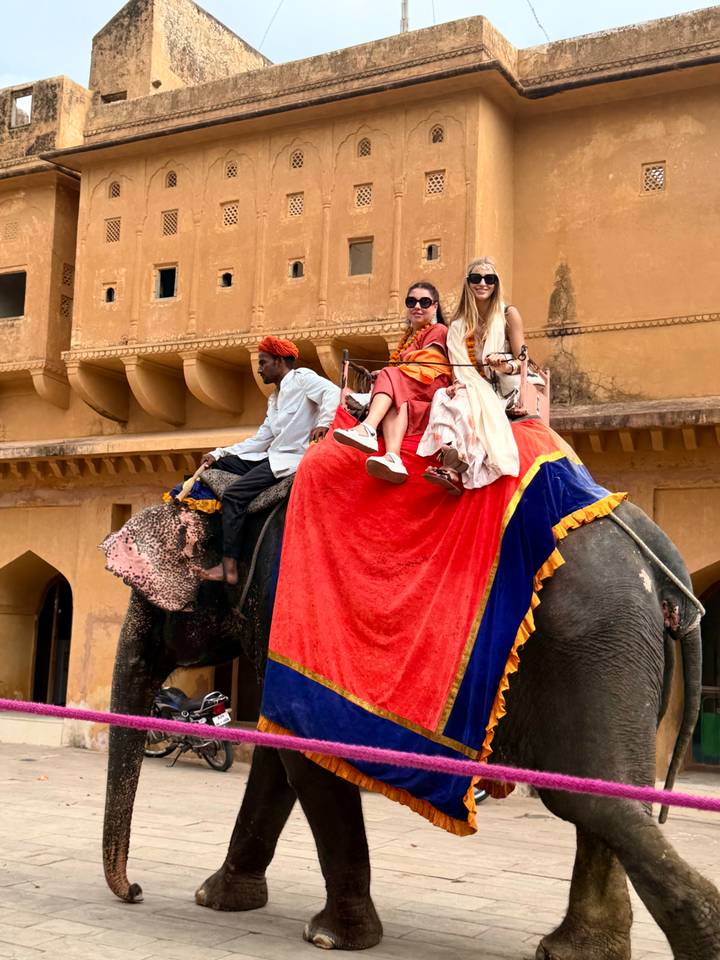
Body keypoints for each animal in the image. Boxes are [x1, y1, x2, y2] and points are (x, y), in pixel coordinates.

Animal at [102, 492, 720, 960]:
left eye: (141, 601)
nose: (135, 892)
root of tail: (663, 567)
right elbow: (278, 755)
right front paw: (218, 899)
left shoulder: (285, 602)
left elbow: (303, 755)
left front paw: (330, 937)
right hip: (623, 646)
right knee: (608, 792)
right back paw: (577, 952)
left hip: (589, 640)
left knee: (587, 797)